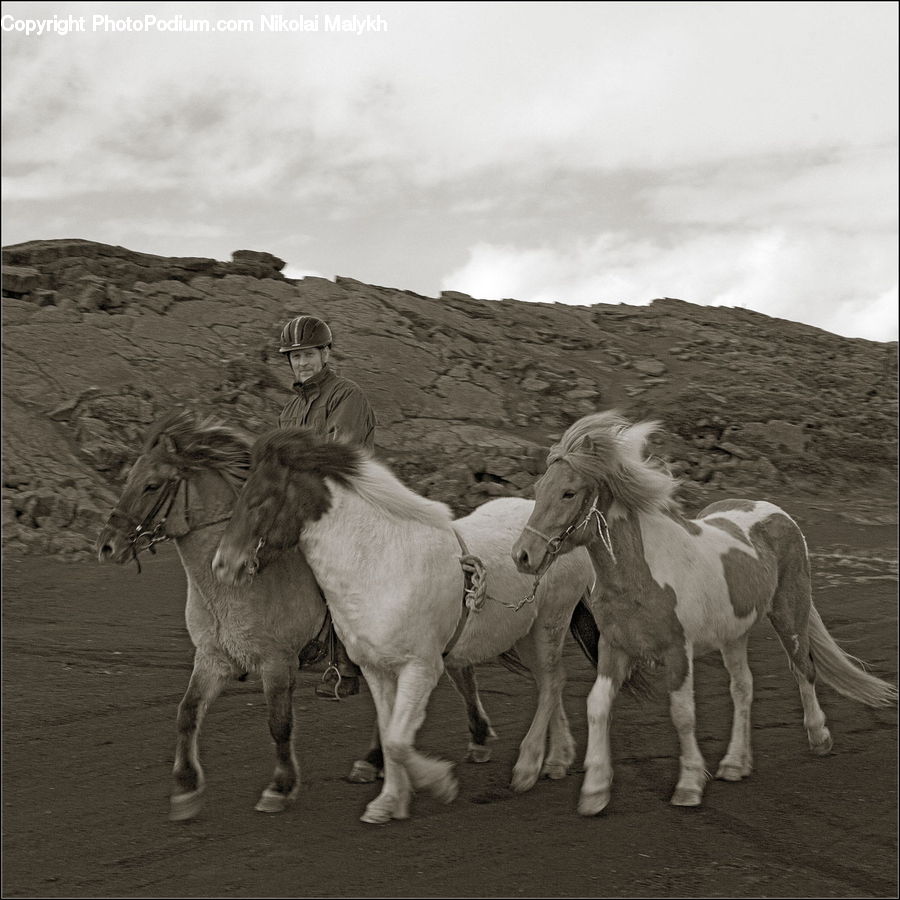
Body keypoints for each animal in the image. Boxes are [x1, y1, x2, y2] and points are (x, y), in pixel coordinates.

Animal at [95, 410, 509, 819]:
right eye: (129, 478)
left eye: (151, 485)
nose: (107, 546)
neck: (231, 590)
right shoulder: (212, 659)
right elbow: (187, 713)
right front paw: (185, 787)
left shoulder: (277, 663)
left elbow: (279, 724)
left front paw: (280, 787)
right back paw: (377, 761)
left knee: (460, 676)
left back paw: (472, 741)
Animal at [211, 427, 596, 825]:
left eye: (261, 499)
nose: (224, 565)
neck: (380, 565)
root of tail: (558, 537)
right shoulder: (376, 669)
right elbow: (388, 731)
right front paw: (389, 801)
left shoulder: (421, 668)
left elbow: (397, 740)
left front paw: (441, 783)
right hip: (524, 635)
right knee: (551, 681)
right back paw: (558, 759)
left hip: (549, 625)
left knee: (550, 684)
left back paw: (529, 767)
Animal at [511, 410, 898, 816]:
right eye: (539, 488)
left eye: (568, 492)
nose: (523, 556)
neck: (641, 575)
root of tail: (777, 513)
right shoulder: (614, 648)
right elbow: (597, 706)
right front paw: (595, 791)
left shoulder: (678, 652)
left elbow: (682, 714)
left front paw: (689, 785)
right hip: (734, 635)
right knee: (742, 688)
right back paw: (734, 764)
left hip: (788, 614)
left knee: (803, 669)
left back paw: (819, 737)